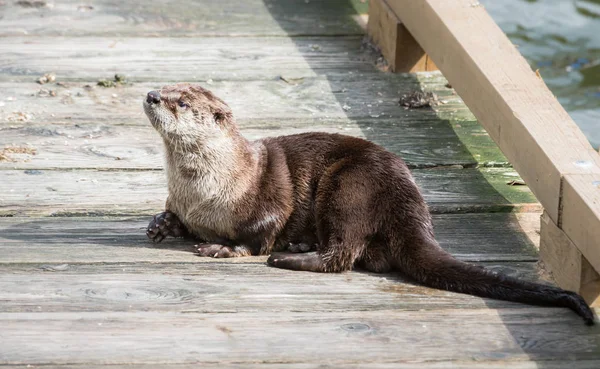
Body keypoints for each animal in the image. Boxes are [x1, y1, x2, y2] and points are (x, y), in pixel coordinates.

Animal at [144, 83, 596, 324]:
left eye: (180, 102)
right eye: (164, 88)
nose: (150, 95)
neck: (205, 191)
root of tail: (411, 202)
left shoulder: (269, 198)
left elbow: (259, 233)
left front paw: (221, 247)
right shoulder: (185, 203)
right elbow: (174, 216)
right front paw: (162, 225)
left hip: (348, 188)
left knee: (343, 253)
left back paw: (290, 256)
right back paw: (302, 245)